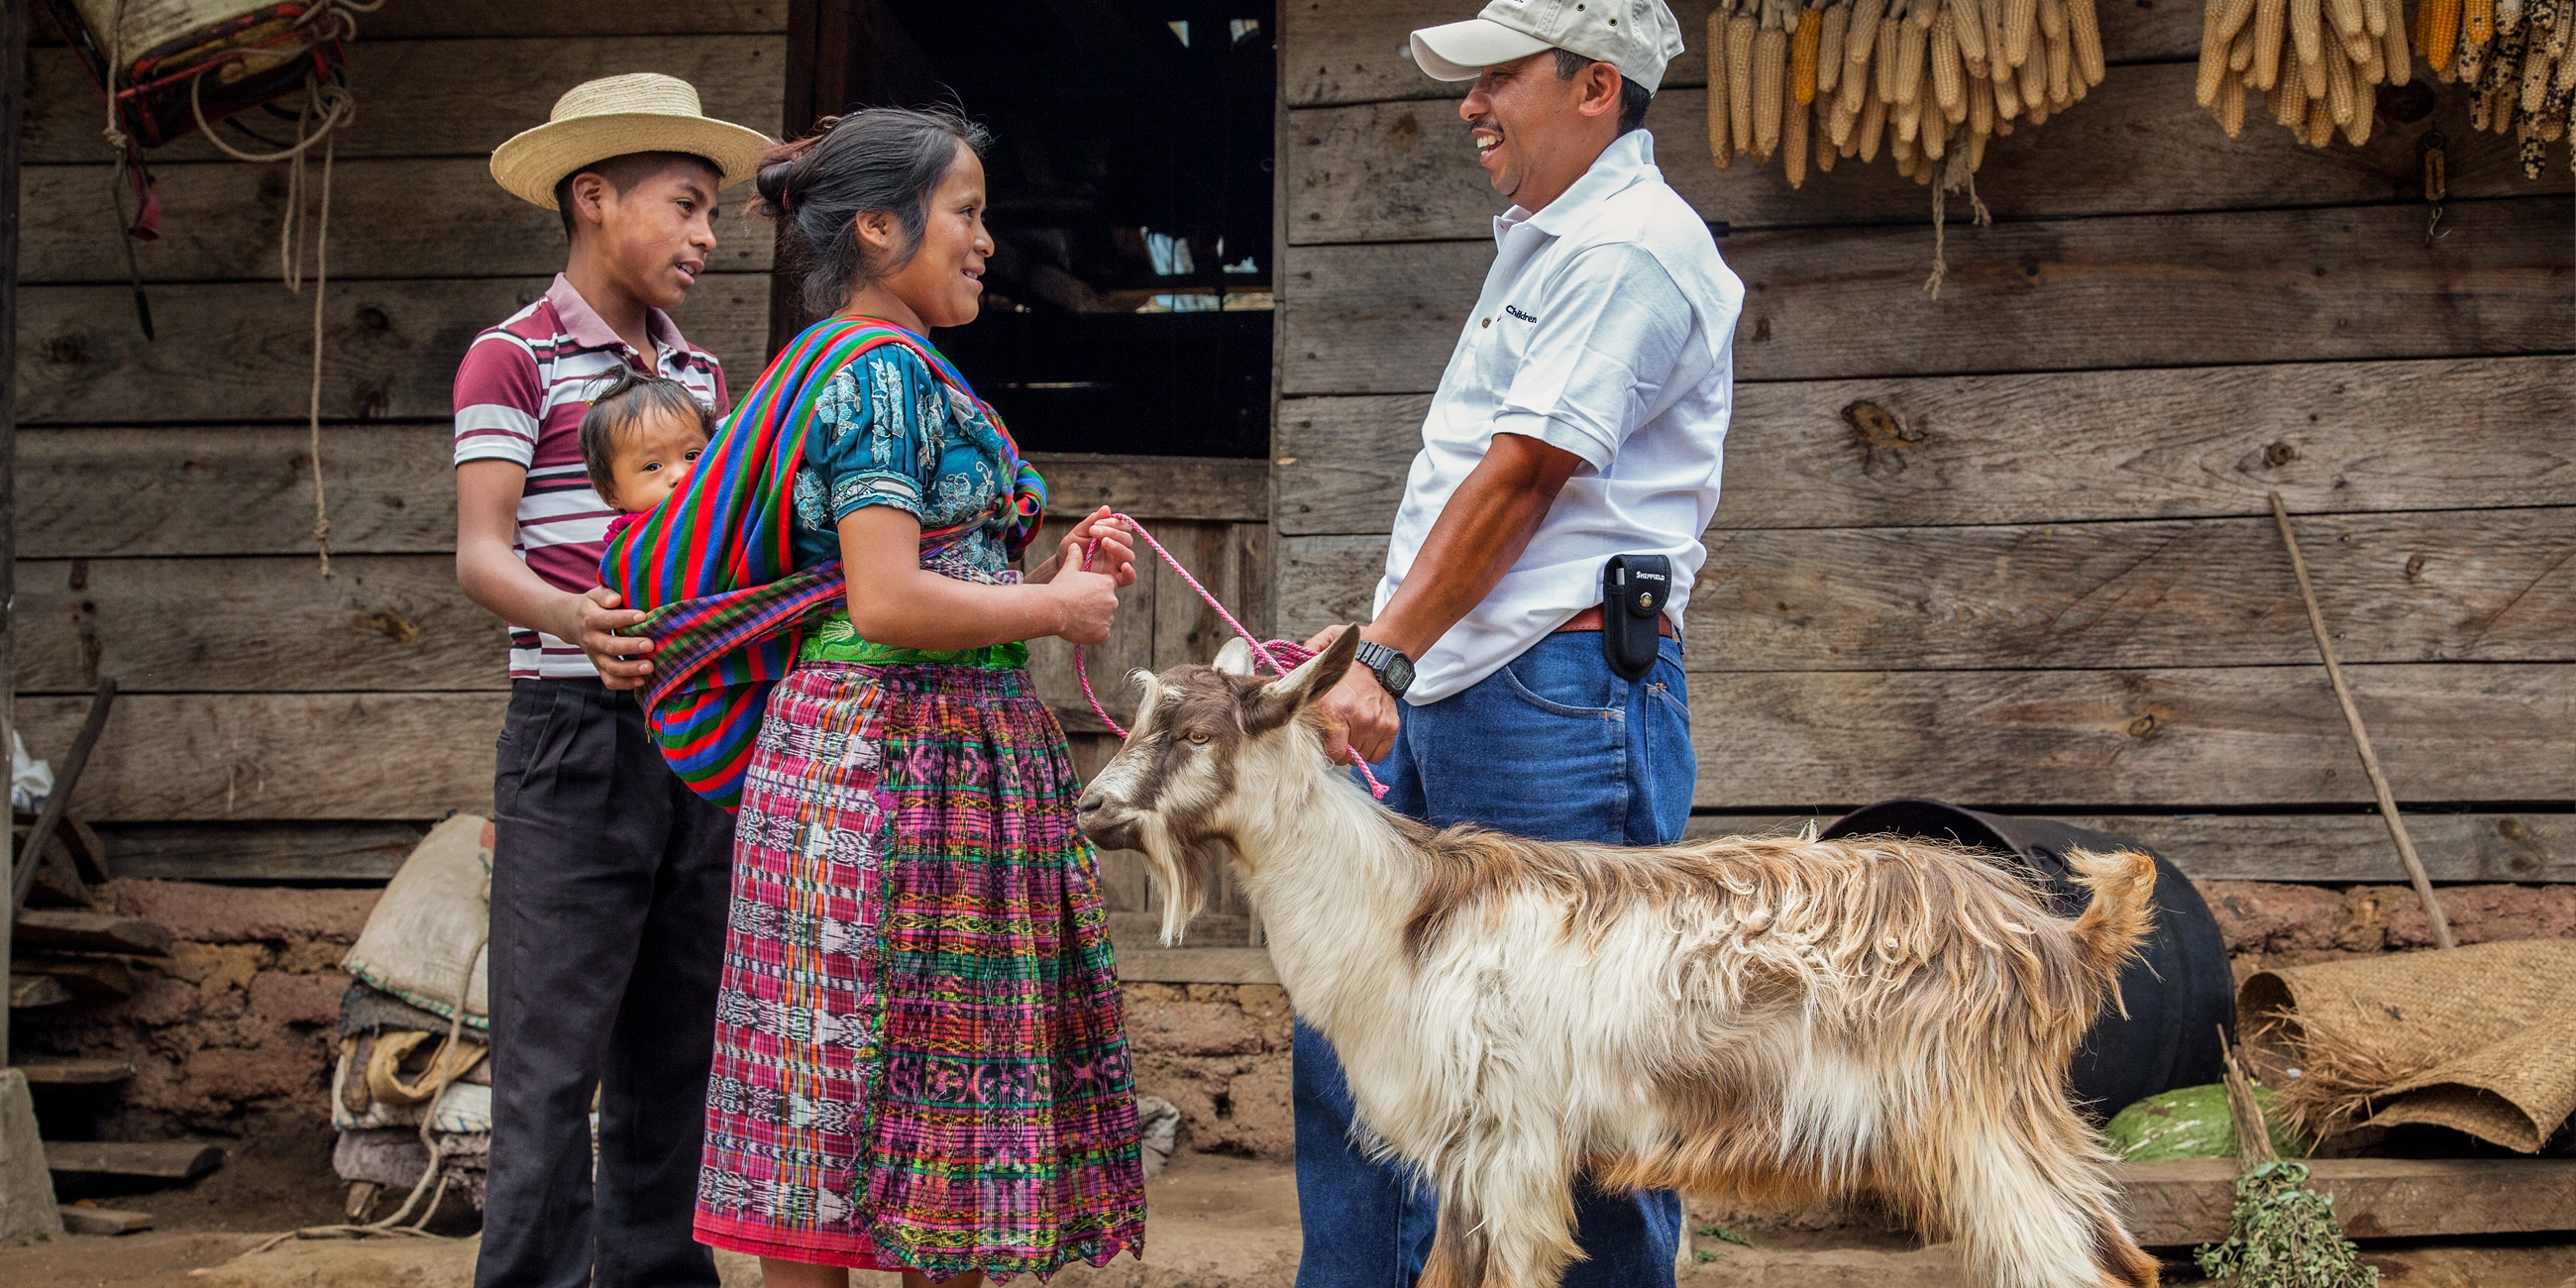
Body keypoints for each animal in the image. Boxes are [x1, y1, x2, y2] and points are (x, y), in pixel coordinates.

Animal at [1076, 631, 2164, 1288]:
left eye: (1193, 732)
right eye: (1140, 720)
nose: (1088, 807)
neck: (1401, 915)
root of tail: (2057, 936)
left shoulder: (1514, 1142)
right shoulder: (1465, 1151)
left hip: (1977, 1118)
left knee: (2069, 1268)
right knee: (2128, 1261)